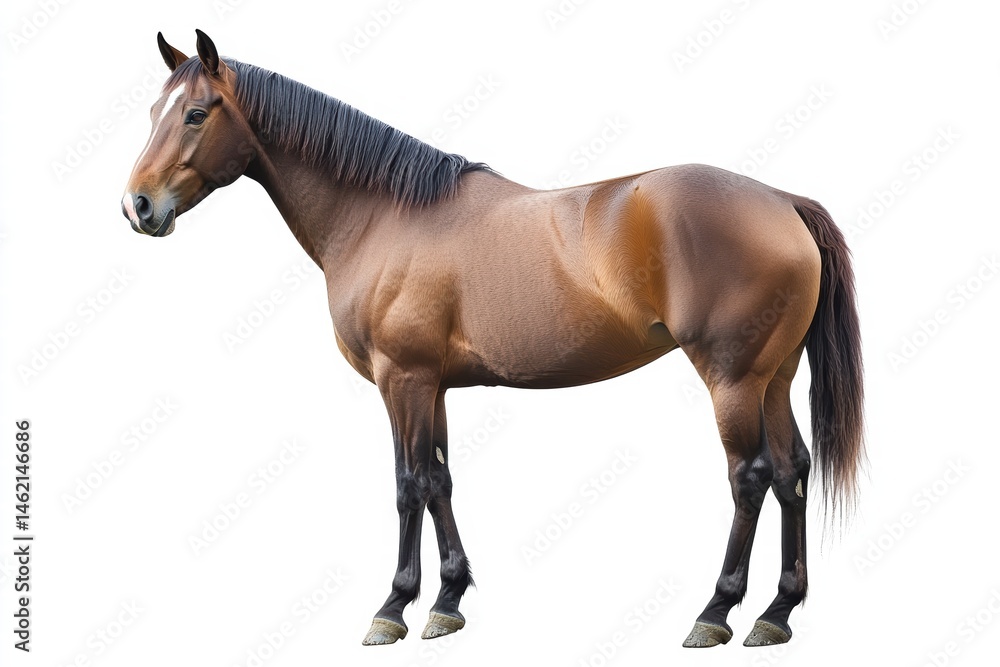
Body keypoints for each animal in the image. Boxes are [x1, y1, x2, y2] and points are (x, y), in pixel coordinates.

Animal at [121, 30, 864, 649]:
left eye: (197, 113)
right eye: (154, 110)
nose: (138, 206)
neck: (382, 215)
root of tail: (781, 201)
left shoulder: (401, 378)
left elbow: (407, 483)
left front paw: (393, 608)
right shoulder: (433, 385)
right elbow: (440, 479)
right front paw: (448, 598)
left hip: (733, 380)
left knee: (751, 476)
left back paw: (715, 613)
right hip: (773, 376)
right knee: (793, 470)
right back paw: (776, 613)